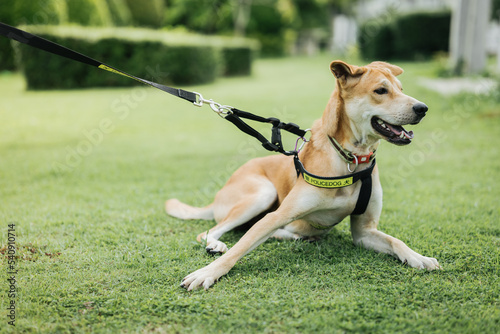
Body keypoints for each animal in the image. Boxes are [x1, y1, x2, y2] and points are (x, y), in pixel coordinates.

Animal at [167, 60, 442, 290]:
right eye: (381, 91)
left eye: (401, 88)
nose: (423, 108)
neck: (350, 160)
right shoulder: (277, 215)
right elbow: (239, 249)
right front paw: (207, 273)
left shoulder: (364, 231)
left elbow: (396, 241)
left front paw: (418, 257)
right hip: (262, 193)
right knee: (212, 231)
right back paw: (217, 244)